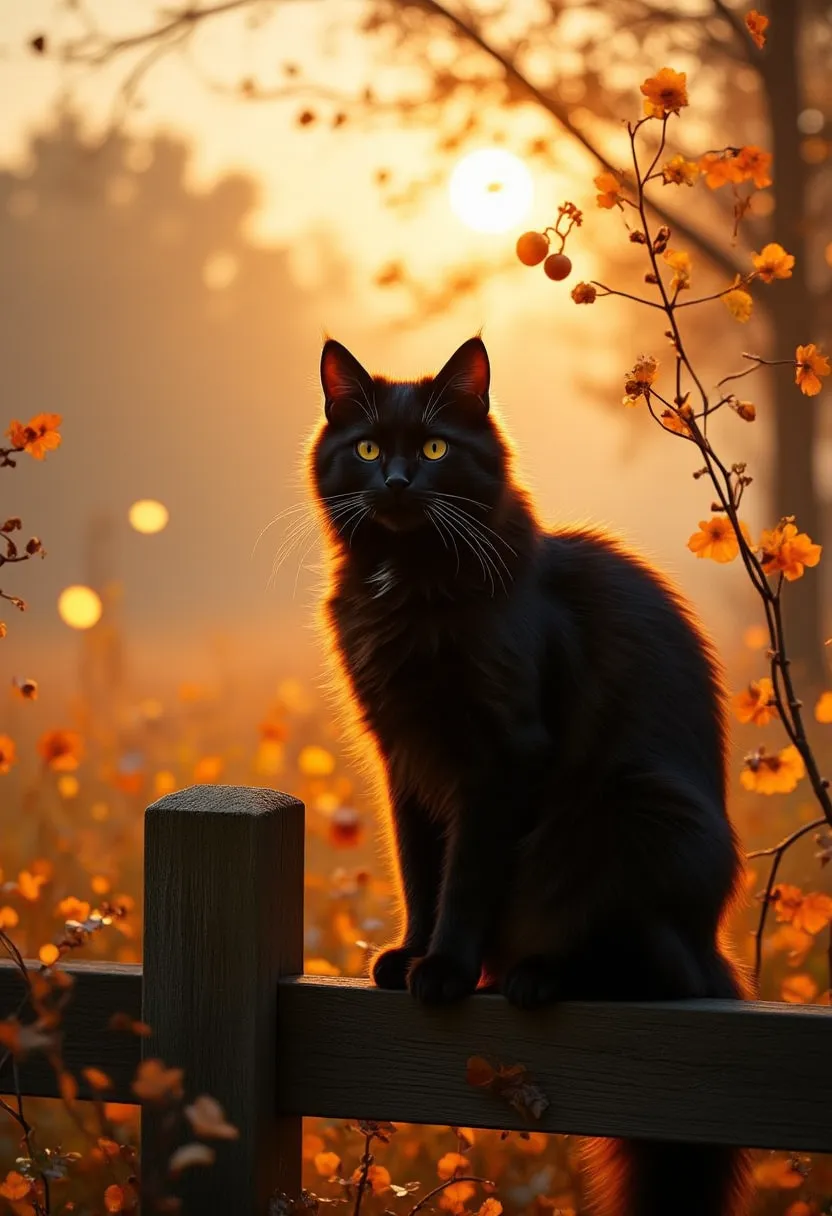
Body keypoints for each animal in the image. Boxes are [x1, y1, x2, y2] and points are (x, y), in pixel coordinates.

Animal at [308, 335, 749, 1216]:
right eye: (367, 449)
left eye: (435, 449)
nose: (397, 482)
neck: (408, 583)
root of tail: (711, 940)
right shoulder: (404, 764)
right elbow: (421, 874)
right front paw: (409, 958)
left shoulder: (501, 758)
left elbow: (467, 878)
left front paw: (445, 971)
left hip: (629, 817)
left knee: (651, 970)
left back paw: (537, 976)